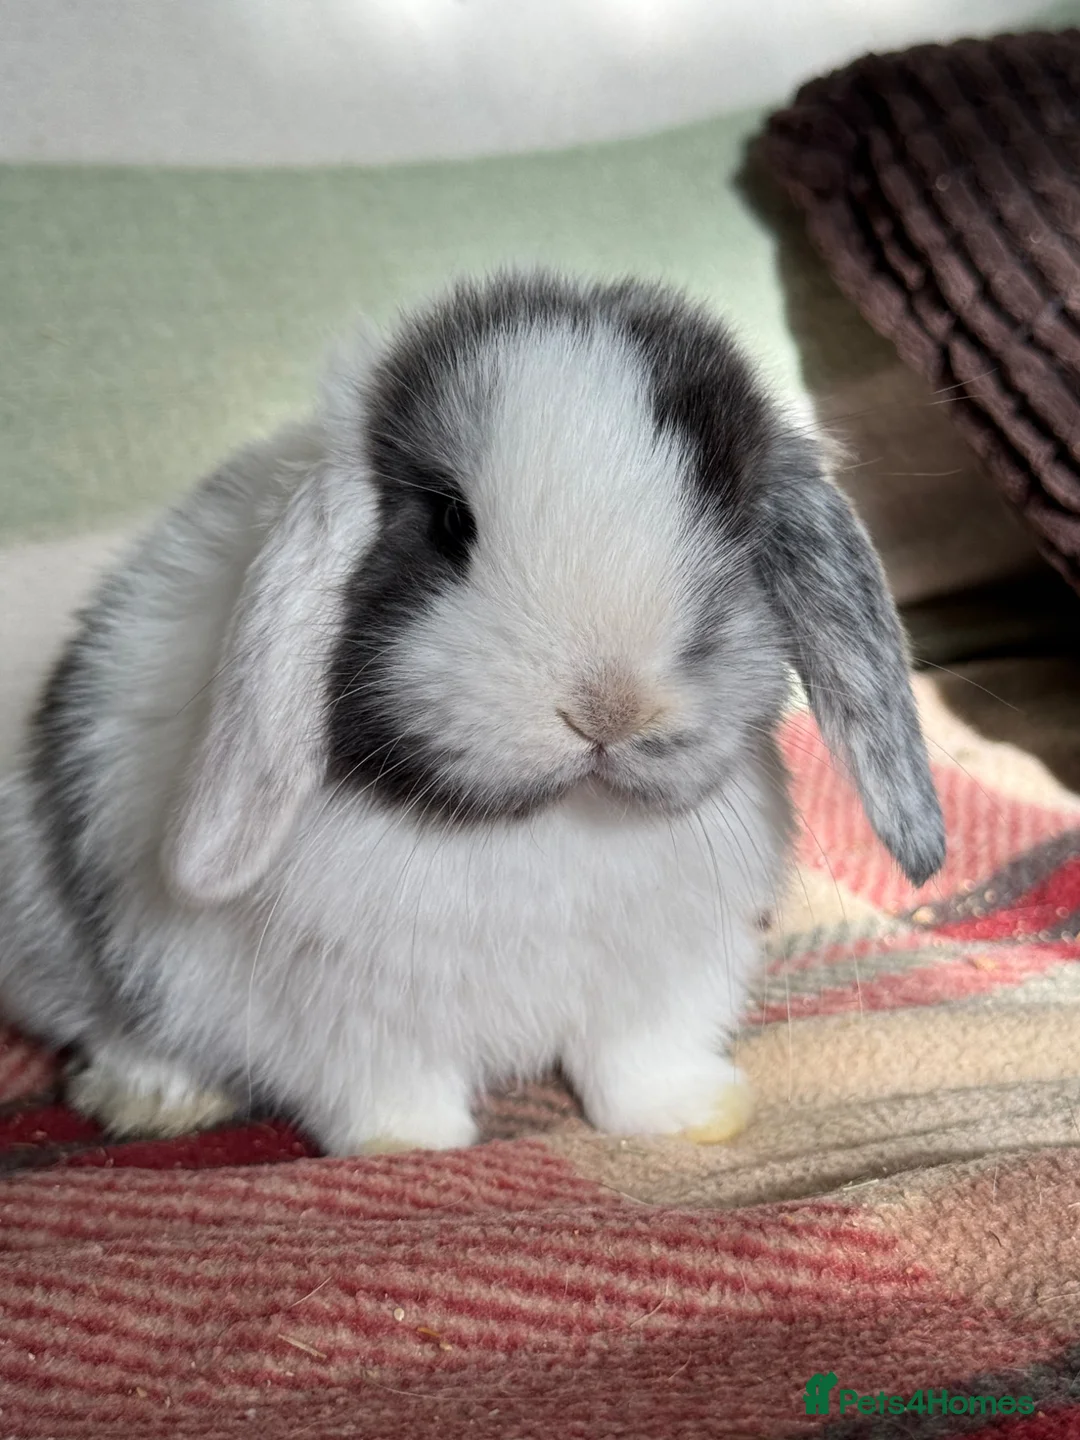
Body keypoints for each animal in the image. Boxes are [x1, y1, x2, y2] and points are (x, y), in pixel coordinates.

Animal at [0, 271, 945, 1155]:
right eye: (452, 522)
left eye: (732, 520)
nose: (609, 707)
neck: (555, 825)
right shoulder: (345, 1014)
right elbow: (386, 1086)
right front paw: (408, 1147)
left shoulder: (662, 984)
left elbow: (638, 1062)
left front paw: (691, 1118)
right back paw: (153, 1097)